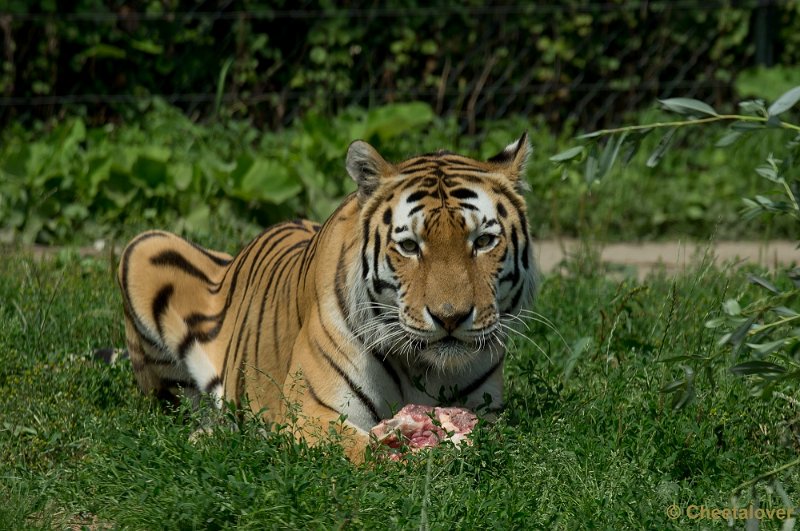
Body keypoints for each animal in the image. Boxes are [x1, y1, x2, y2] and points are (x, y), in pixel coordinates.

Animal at [117, 135, 536, 464]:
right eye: (409, 246)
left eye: (483, 241)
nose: (450, 318)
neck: (425, 367)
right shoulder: (312, 412)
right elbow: (362, 450)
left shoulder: (486, 411)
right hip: (144, 248)